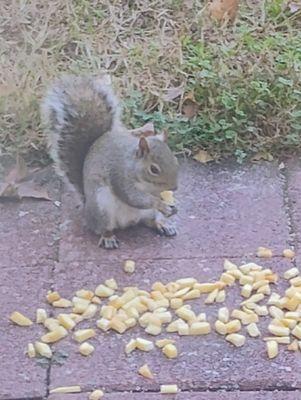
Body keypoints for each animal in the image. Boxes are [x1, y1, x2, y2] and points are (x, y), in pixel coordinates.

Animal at [41, 74, 179, 248]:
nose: (174, 187)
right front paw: (160, 204)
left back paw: (162, 224)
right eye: (154, 169)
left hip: (144, 214)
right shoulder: (120, 176)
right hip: (102, 207)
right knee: (102, 228)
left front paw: (170, 205)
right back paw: (108, 237)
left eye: (175, 159)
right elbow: (133, 197)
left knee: (149, 221)